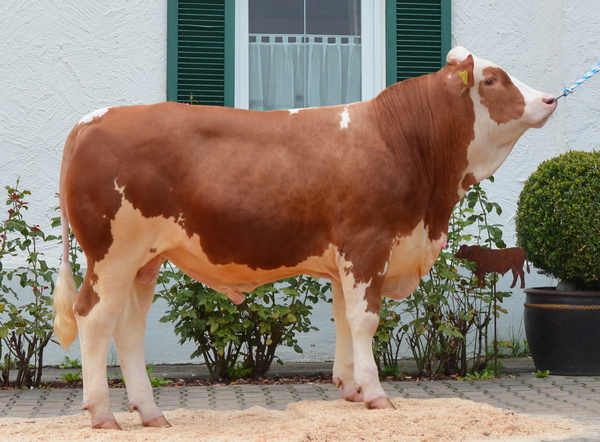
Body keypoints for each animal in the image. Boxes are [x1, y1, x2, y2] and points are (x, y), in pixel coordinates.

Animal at [54, 47, 556, 428]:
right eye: (491, 79)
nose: (551, 98)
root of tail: (95, 117)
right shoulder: (366, 244)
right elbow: (365, 320)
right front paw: (376, 393)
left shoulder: (345, 259)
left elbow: (344, 319)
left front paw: (350, 389)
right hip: (112, 253)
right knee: (93, 318)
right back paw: (103, 415)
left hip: (145, 259)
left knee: (129, 327)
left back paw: (151, 413)